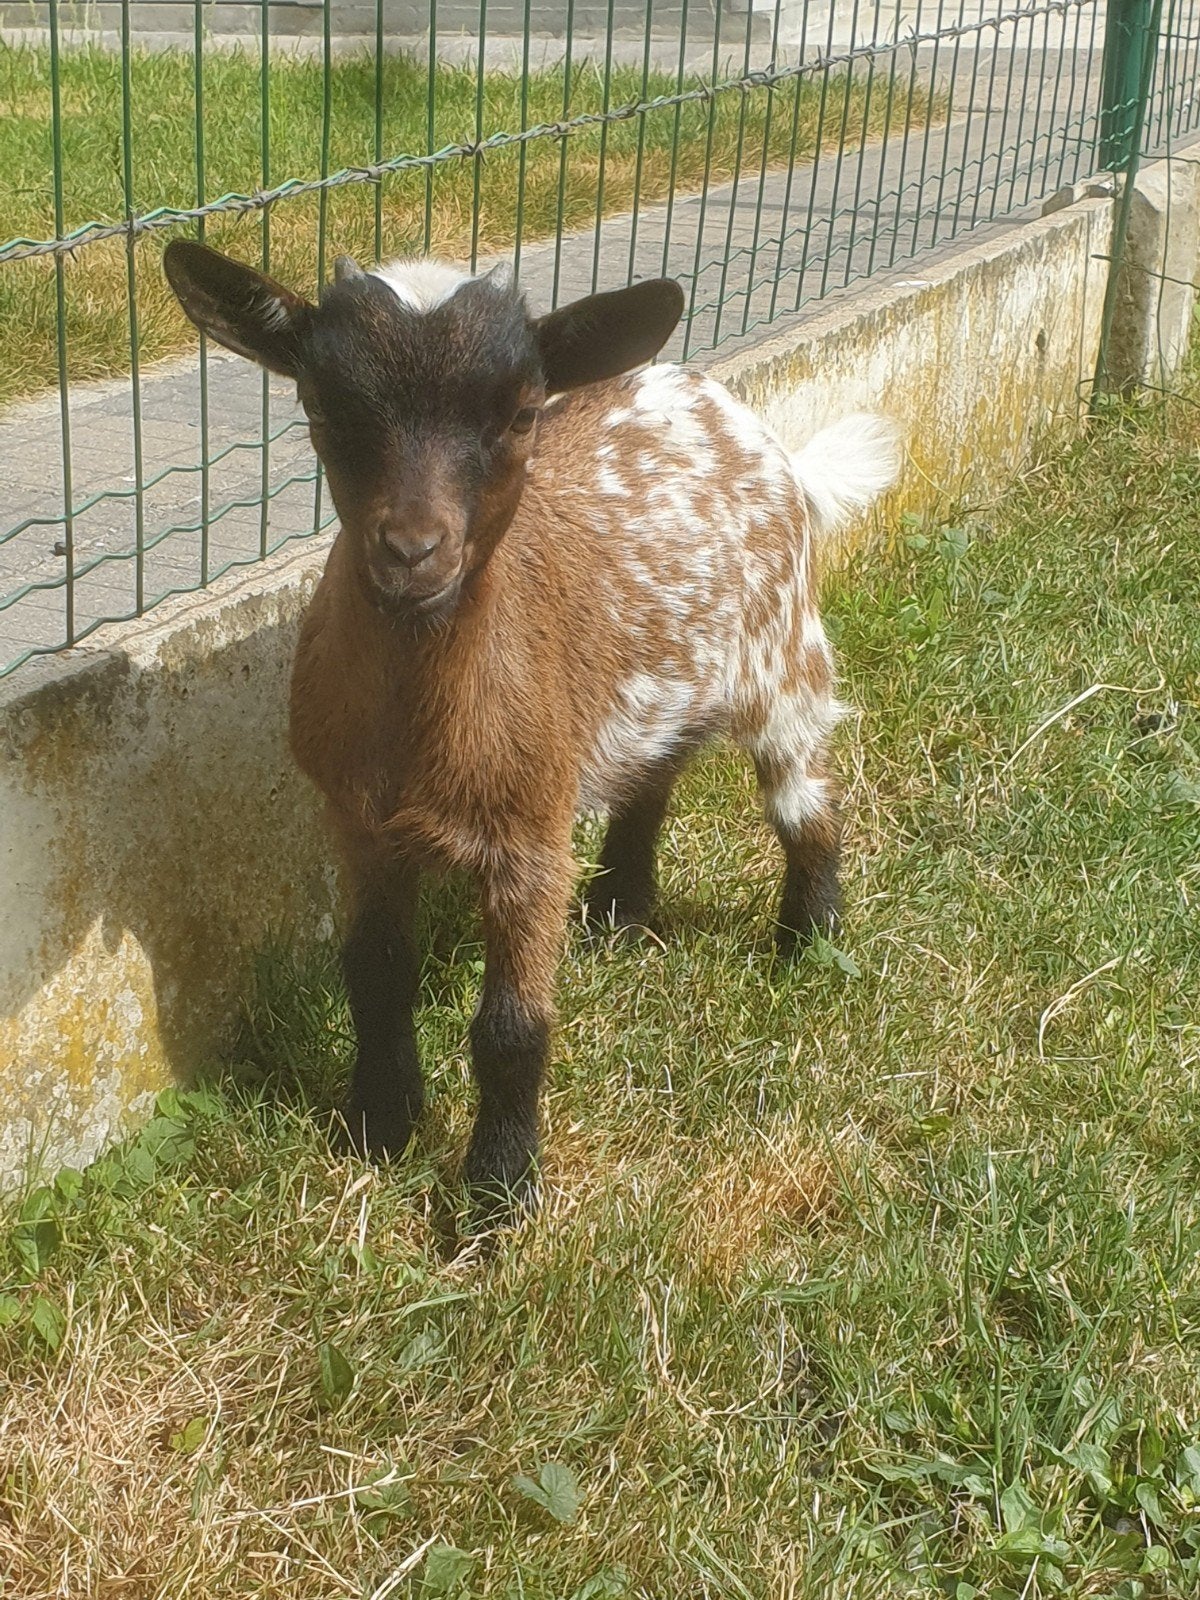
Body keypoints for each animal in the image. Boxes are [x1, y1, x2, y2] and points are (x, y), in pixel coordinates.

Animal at [163, 241, 901, 1219]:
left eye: (519, 414)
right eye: (323, 407)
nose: (411, 552)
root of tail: (754, 431)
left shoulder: (530, 833)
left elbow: (512, 1027)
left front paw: (499, 1191)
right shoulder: (359, 827)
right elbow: (375, 973)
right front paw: (379, 1124)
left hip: (784, 656)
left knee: (807, 801)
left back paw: (808, 944)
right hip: (651, 691)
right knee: (654, 773)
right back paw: (621, 913)